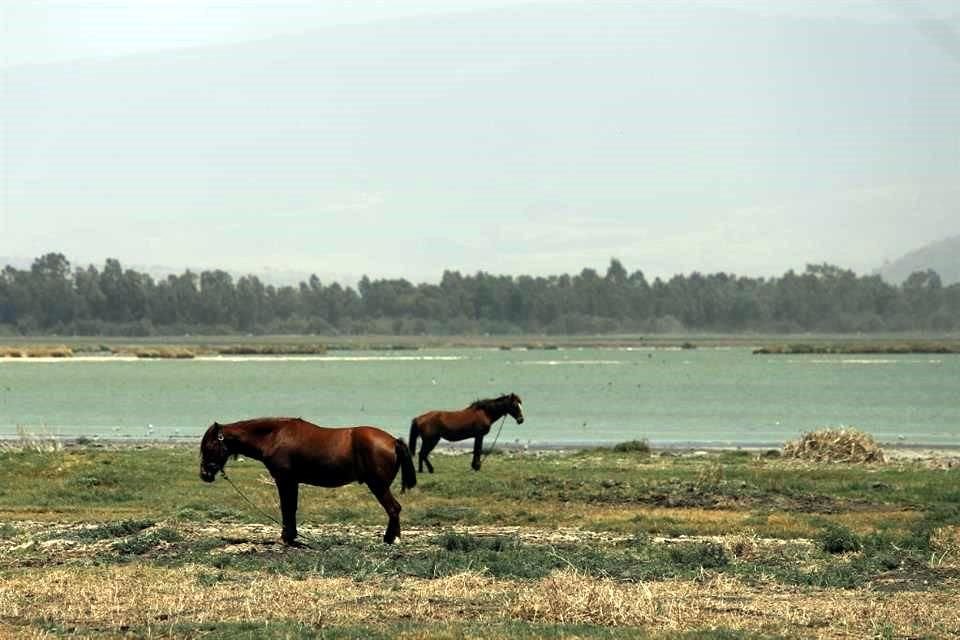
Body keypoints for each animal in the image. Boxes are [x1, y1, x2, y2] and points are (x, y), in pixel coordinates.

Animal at [199, 420, 416, 544]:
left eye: (209, 445)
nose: (204, 474)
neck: (275, 436)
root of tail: (394, 441)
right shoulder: (292, 481)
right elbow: (291, 507)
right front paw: (291, 535)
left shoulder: (285, 479)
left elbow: (287, 507)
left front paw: (286, 537)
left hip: (378, 486)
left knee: (394, 508)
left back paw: (392, 539)